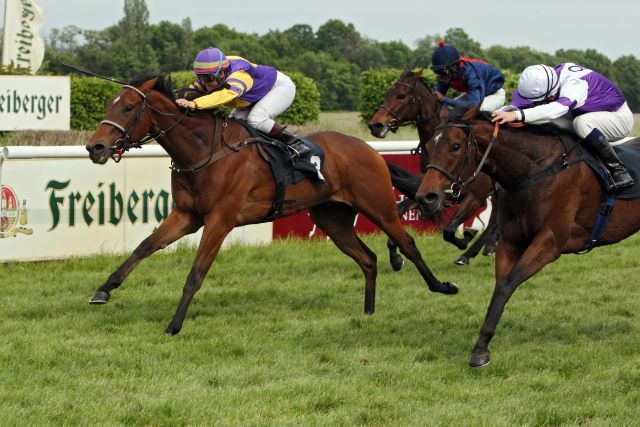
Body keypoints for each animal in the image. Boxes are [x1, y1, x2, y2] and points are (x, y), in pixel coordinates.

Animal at [84, 75, 460, 336]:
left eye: (128, 108)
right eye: (108, 105)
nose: (95, 147)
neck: (203, 149)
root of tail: (368, 149)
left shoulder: (220, 220)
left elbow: (196, 273)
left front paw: (175, 324)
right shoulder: (187, 216)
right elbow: (144, 247)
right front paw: (103, 290)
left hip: (378, 206)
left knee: (408, 244)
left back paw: (443, 286)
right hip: (332, 219)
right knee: (367, 259)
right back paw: (368, 312)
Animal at [418, 106, 640, 368]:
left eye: (455, 146)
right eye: (428, 145)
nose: (426, 197)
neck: (532, 172)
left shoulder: (550, 242)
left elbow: (507, 285)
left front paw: (480, 350)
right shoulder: (510, 242)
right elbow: (499, 287)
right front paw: (482, 346)